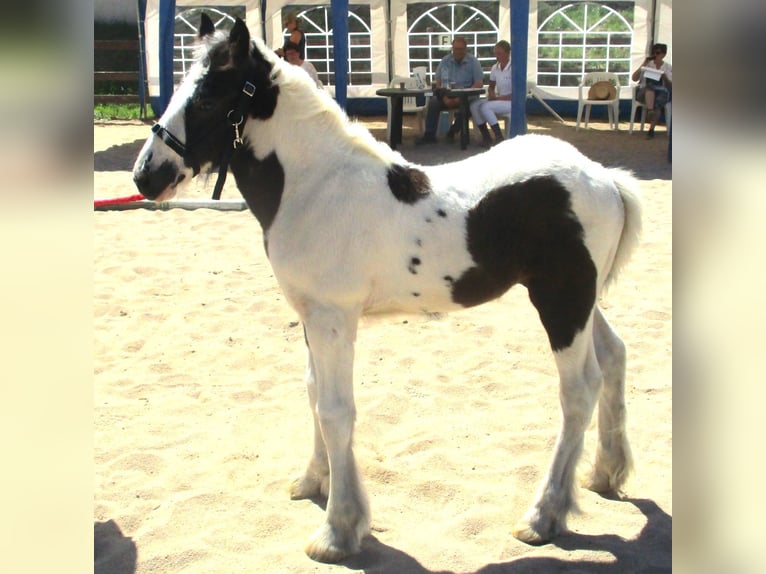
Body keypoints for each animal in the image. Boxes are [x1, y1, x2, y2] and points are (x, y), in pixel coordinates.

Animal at [132, 14, 640, 568]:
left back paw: (543, 516)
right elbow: (313, 392)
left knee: (579, 390)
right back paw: (605, 474)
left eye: (206, 98)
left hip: (561, 301)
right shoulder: (311, 316)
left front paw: (337, 531)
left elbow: (336, 411)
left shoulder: (333, 318)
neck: (315, 187)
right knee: (614, 356)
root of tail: (605, 178)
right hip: (583, 301)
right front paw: (314, 481)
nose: (145, 175)